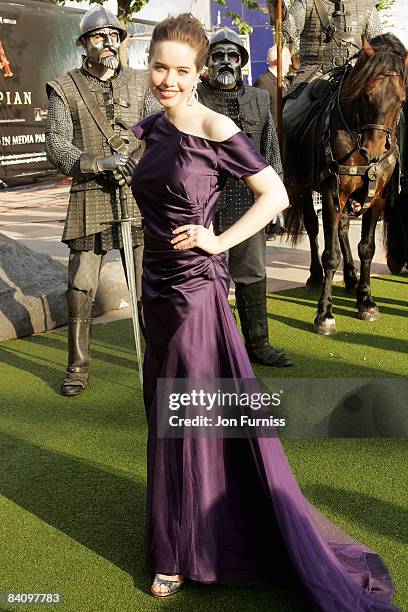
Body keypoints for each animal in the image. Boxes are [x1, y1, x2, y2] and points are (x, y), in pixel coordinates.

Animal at [284, 34, 408, 334]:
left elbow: (367, 248)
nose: (373, 152)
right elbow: (330, 254)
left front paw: (366, 301)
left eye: (401, 100)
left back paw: (351, 278)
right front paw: (324, 314)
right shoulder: (331, 193)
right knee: (313, 227)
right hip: (301, 187)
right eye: (365, 94)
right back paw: (315, 276)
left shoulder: (377, 197)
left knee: (341, 229)